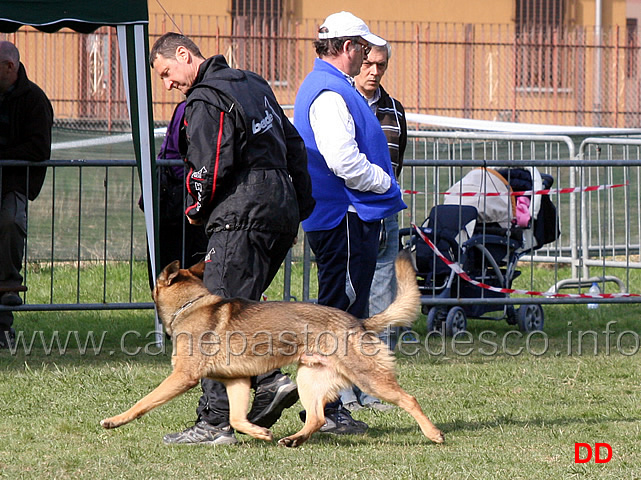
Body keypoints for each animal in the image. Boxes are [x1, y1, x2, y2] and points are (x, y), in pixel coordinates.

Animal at [102, 249, 444, 448]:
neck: (191, 304)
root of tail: (359, 321)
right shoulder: (237, 382)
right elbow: (237, 418)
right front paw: (260, 432)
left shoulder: (182, 377)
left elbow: (144, 402)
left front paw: (116, 420)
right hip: (309, 379)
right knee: (317, 418)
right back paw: (293, 439)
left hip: (369, 379)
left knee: (409, 399)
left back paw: (433, 434)